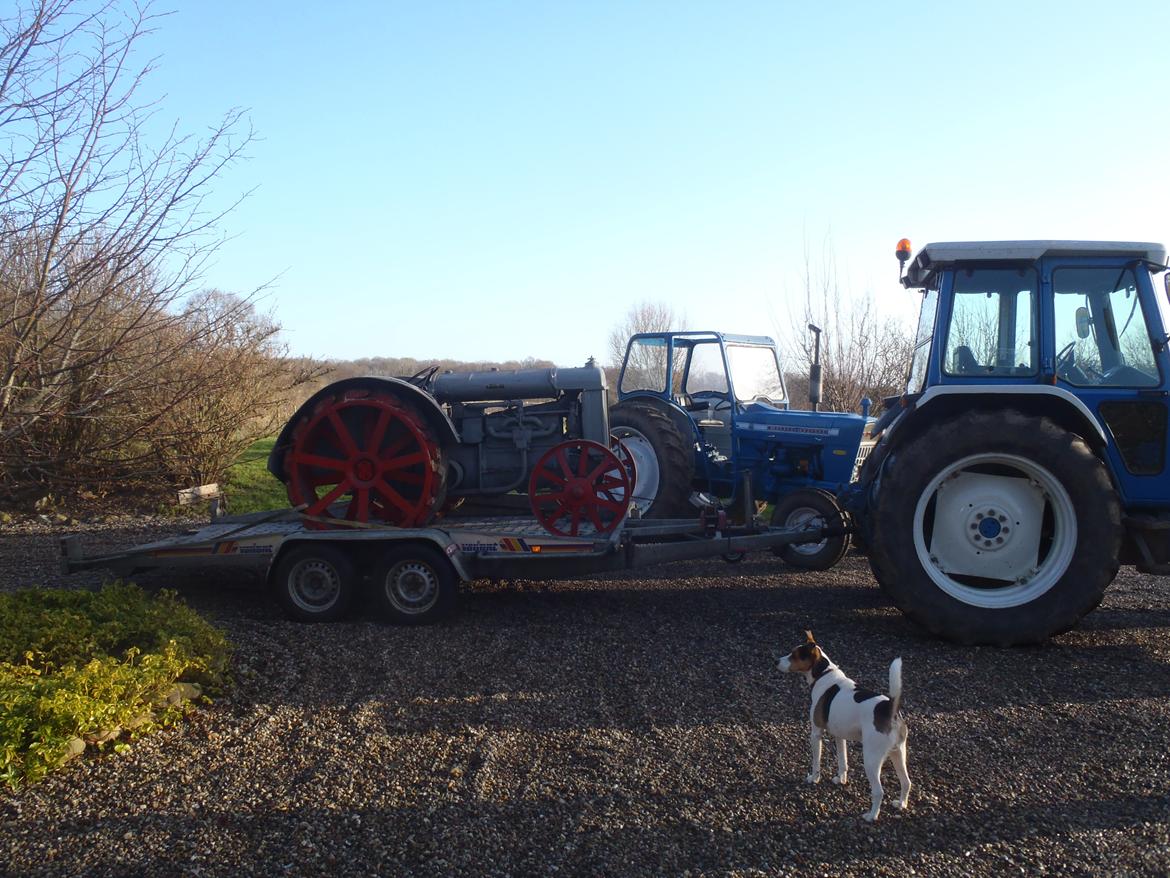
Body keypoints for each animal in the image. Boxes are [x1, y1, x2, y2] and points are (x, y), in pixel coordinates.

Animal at [781, 632, 907, 824]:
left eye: (794, 655)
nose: (776, 661)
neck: (824, 674)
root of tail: (889, 707)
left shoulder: (816, 733)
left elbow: (816, 761)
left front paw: (814, 778)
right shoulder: (840, 736)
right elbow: (843, 761)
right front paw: (841, 779)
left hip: (871, 759)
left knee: (879, 792)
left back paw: (871, 816)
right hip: (898, 753)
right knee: (906, 782)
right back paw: (901, 804)